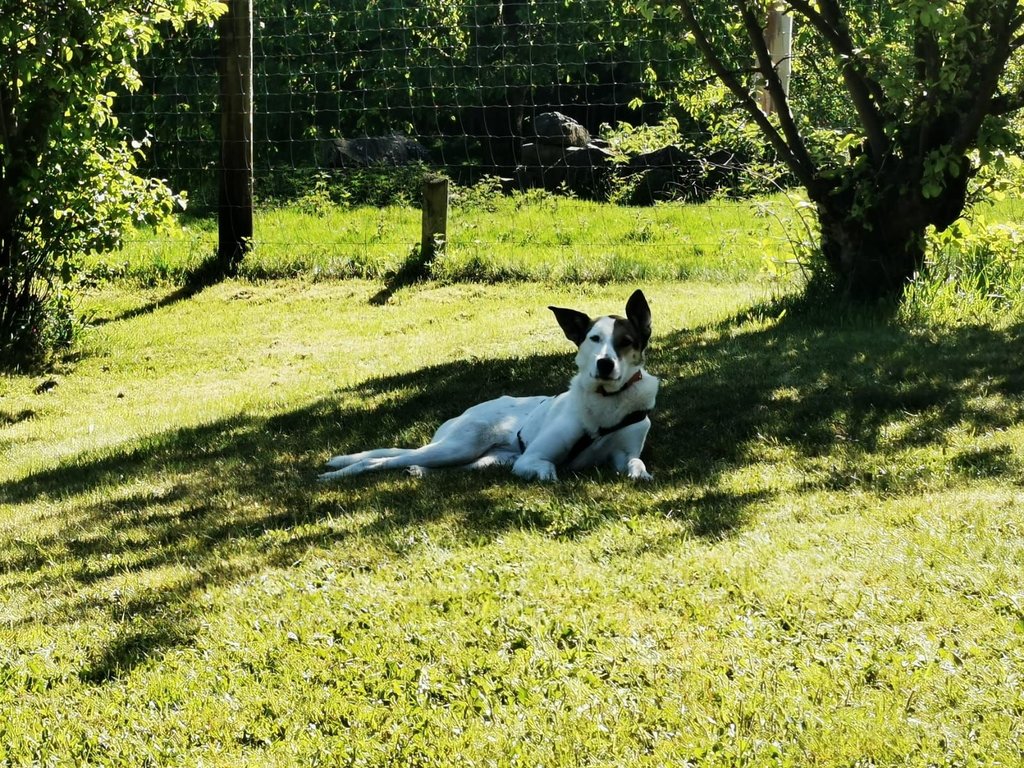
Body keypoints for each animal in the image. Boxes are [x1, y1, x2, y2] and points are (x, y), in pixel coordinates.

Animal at [318, 290, 658, 482]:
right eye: (594, 339)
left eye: (626, 342)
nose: (605, 364)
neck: (606, 403)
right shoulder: (530, 458)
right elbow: (547, 469)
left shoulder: (623, 453)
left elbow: (636, 463)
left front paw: (641, 474)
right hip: (459, 445)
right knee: (380, 460)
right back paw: (338, 475)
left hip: (484, 458)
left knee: (444, 466)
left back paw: (419, 472)